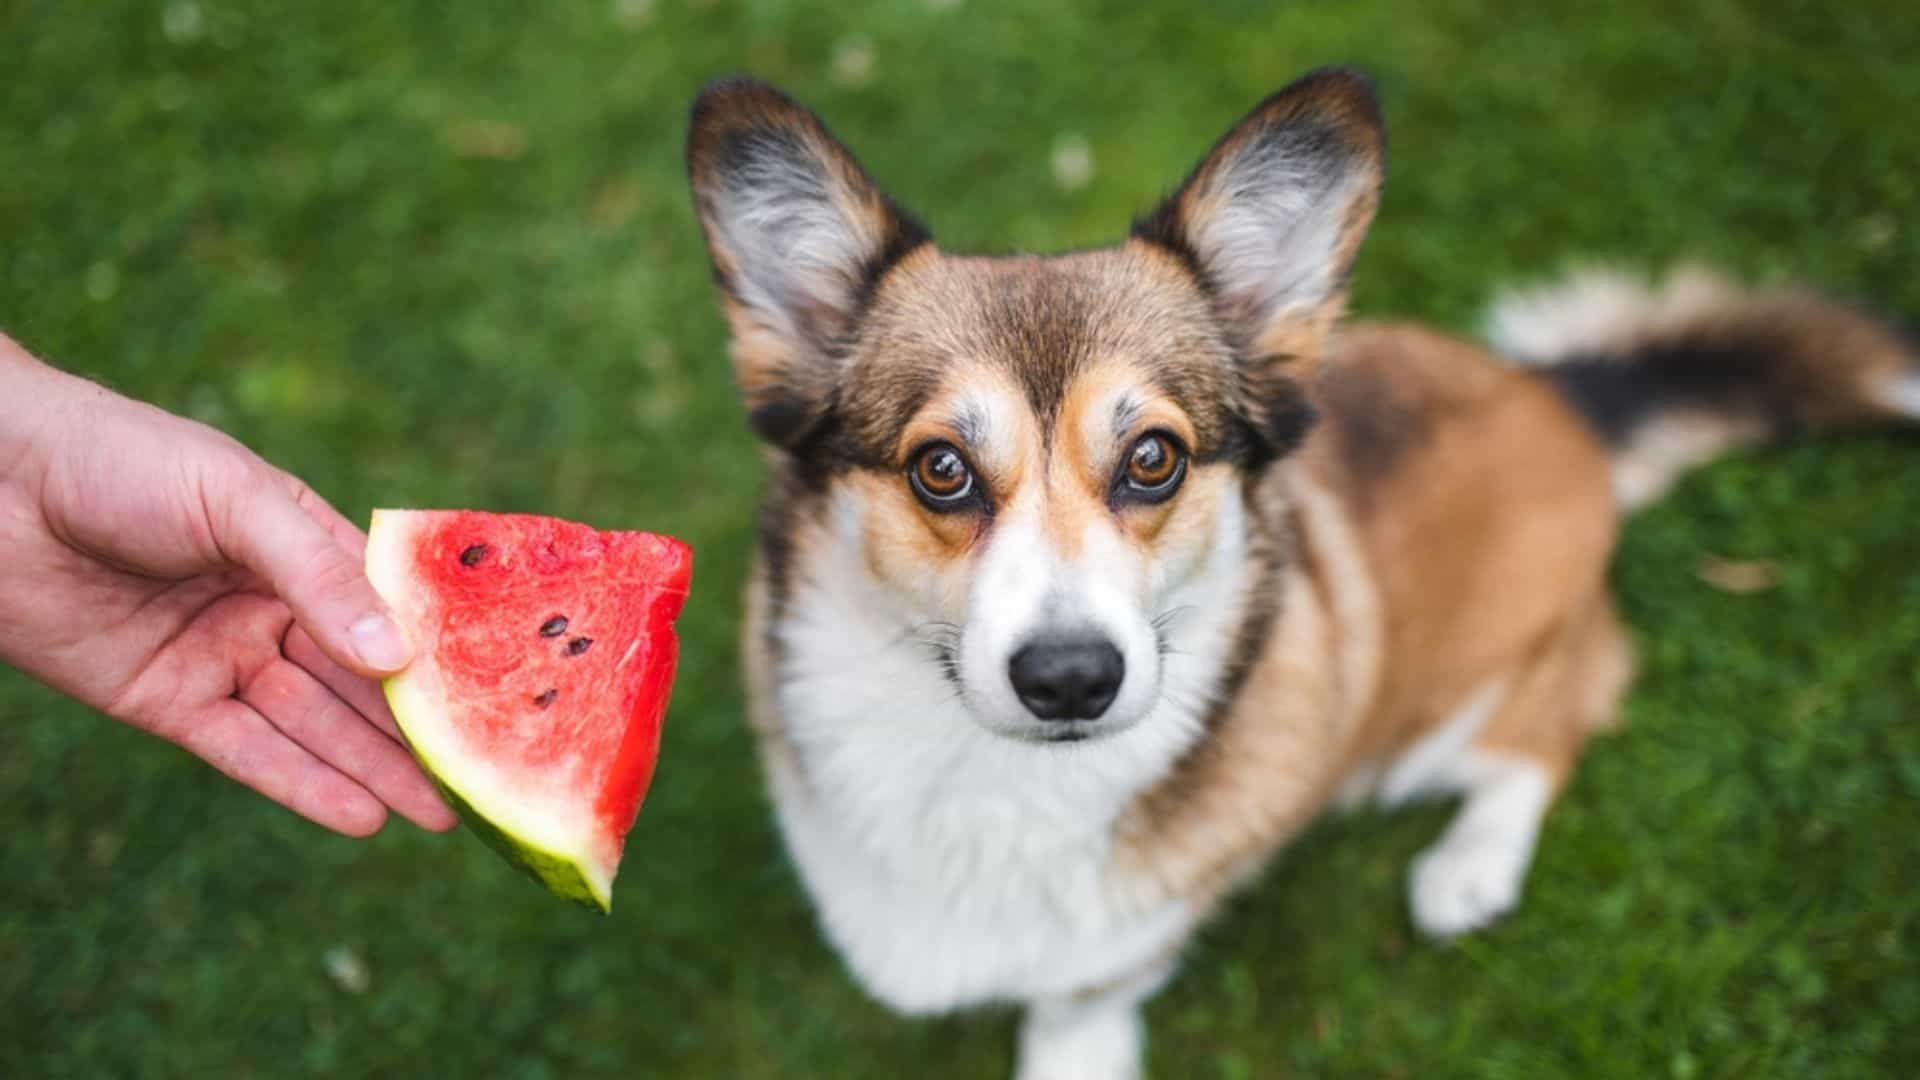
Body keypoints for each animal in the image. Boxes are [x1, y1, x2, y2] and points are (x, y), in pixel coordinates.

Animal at [683, 69, 1912, 1076]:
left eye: (1154, 458)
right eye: (940, 469)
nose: (1072, 678)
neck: (994, 784)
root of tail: (1563, 400)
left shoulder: (1126, 941)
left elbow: (1083, 994)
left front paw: (1074, 1053)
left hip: (1439, 722)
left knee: (1563, 709)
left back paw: (1471, 864)